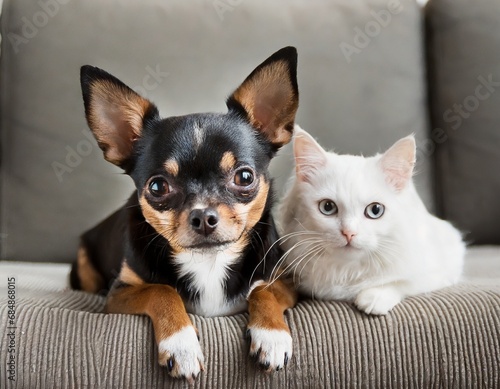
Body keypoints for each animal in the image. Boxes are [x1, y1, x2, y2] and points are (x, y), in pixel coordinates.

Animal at [69, 47, 298, 380]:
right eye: (157, 186)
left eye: (244, 177)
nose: (203, 216)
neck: (209, 262)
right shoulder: (118, 294)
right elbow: (162, 290)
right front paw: (182, 346)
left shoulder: (287, 281)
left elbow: (263, 290)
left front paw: (271, 336)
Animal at [278, 126, 464, 314]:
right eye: (328, 207)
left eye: (375, 210)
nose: (349, 233)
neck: (348, 271)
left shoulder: (446, 264)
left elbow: (403, 282)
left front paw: (373, 299)